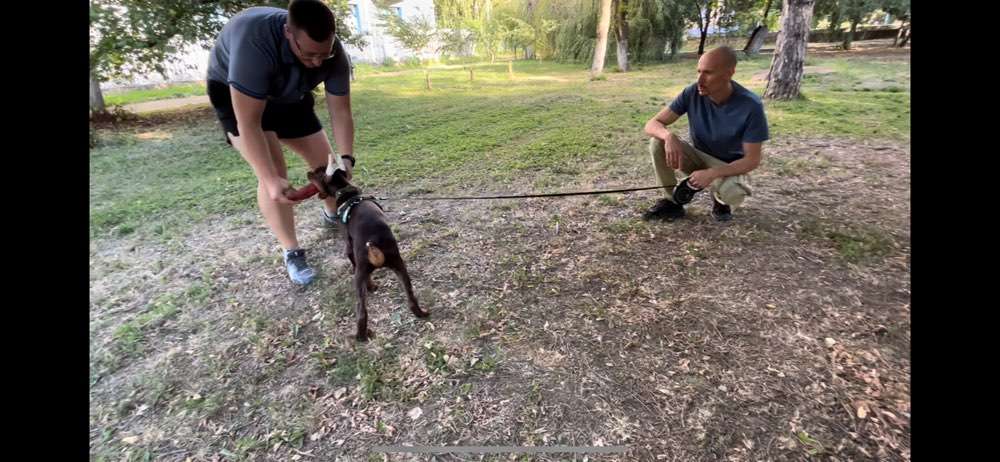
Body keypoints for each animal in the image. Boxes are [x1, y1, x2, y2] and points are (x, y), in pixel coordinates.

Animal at [304, 166, 430, 340]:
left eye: (318, 173)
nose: (308, 173)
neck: (346, 191)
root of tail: (375, 244)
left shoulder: (349, 249)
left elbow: (357, 268)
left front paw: (371, 286)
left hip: (360, 276)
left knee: (361, 312)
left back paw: (361, 336)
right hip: (400, 266)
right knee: (411, 298)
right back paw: (421, 313)